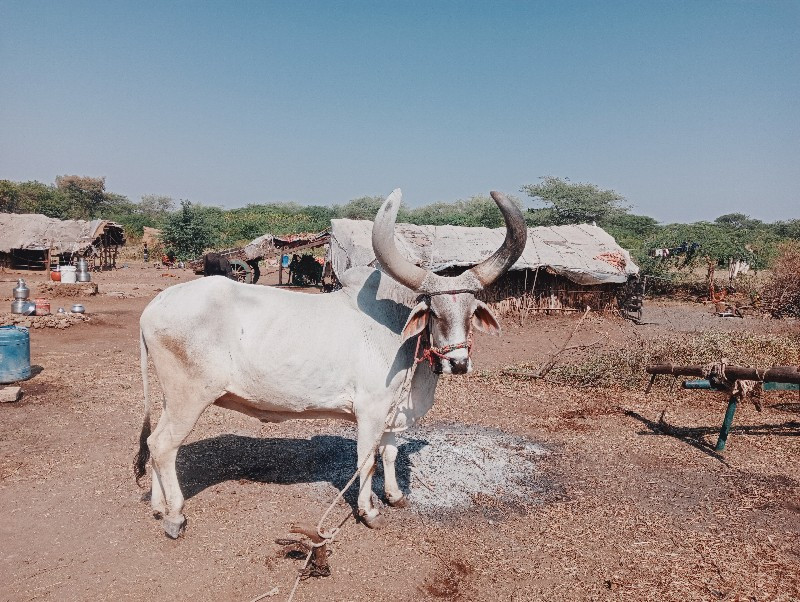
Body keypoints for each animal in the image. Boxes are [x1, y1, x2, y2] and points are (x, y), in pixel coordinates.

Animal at [134, 188, 528, 536]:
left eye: (472, 311)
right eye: (434, 311)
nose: (457, 363)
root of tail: (154, 307)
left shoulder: (393, 413)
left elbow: (389, 453)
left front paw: (395, 496)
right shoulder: (370, 411)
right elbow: (367, 461)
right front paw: (369, 512)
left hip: (172, 399)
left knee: (153, 443)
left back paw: (159, 507)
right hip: (189, 398)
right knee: (163, 446)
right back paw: (175, 516)